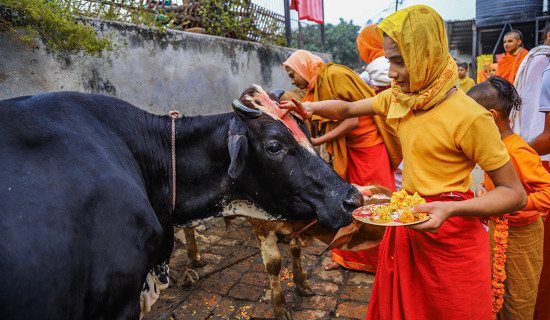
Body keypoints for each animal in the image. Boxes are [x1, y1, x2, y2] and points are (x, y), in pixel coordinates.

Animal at [0, 86, 362, 318]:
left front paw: (302, 286)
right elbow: (274, 263)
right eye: (274, 145)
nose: (352, 198)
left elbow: (296, 251)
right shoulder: (118, 299)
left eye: (307, 130)